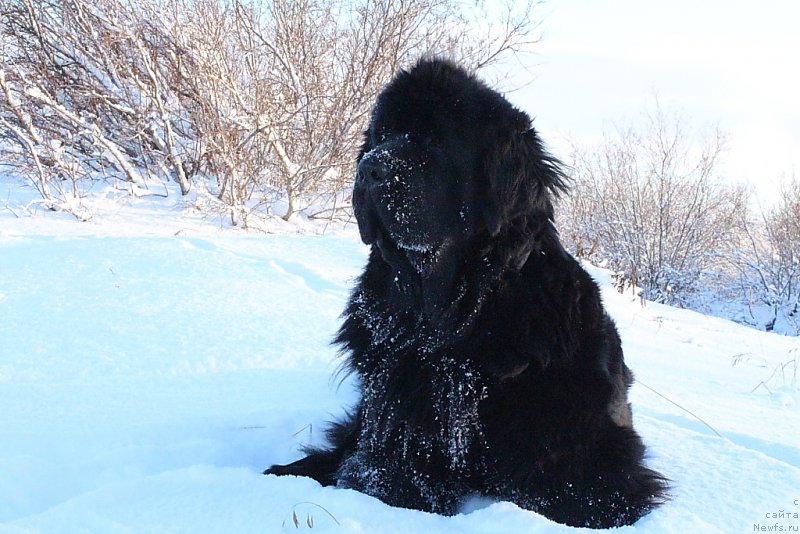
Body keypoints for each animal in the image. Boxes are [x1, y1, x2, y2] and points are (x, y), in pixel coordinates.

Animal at [264, 57, 668, 528]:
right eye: (382, 135)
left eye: (435, 142)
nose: (369, 168)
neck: (448, 319)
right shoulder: (393, 419)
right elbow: (366, 462)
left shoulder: (593, 467)